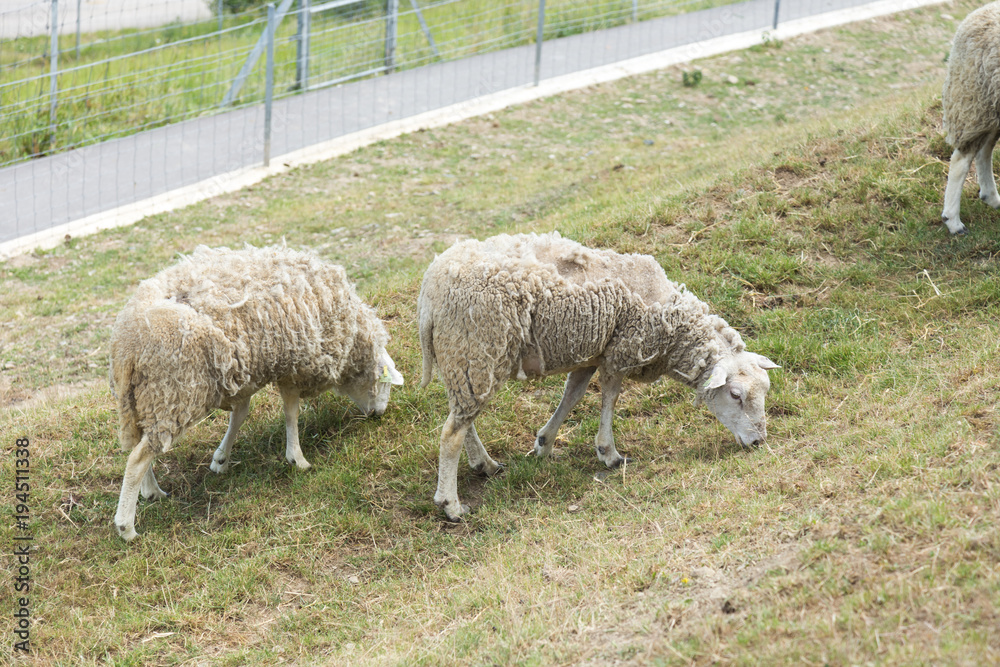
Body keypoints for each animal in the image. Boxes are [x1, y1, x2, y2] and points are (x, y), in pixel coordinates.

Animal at [110, 245, 403, 541]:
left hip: (145, 399)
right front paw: (297, 458)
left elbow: (240, 415)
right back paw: (126, 527)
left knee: (143, 444)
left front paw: (221, 459)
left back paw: (151, 491)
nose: (379, 414)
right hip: (174, 394)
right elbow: (291, 413)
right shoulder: (293, 365)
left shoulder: (245, 371)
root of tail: (128, 345)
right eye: (386, 382)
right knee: (138, 458)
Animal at [417, 232, 779, 521]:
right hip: (476, 349)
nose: (758, 442)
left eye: (764, 390)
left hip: (464, 360)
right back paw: (451, 505)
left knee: (462, 417)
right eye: (735, 394)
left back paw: (484, 464)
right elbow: (610, 396)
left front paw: (545, 443)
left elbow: (573, 394)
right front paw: (609, 453)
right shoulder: (621, 350)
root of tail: (428, 295)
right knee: (451, 433)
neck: (672, 323)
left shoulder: (591, 354)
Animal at [941, 1, 1000, 235]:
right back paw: (953, 222)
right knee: (962, 159)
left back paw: (992, 198)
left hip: (989, 107)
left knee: (984, 151)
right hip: (975, 101)